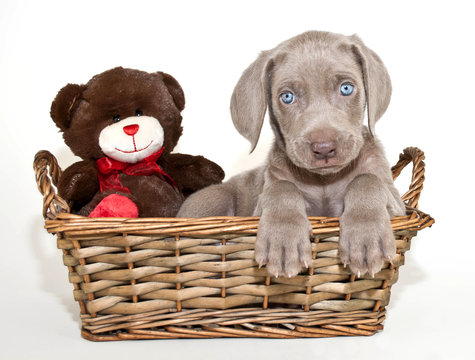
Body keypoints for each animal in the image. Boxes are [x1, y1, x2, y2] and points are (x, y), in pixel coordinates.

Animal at [178, 31, 406, 278]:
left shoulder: (397, 205)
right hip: (212, 198)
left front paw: (365, 239)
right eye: (287, 97)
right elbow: (282, 188)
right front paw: (282, 242)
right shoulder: (262, 203)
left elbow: (367, 179)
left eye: (346, 88)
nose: (324, 148)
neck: (323, 182)